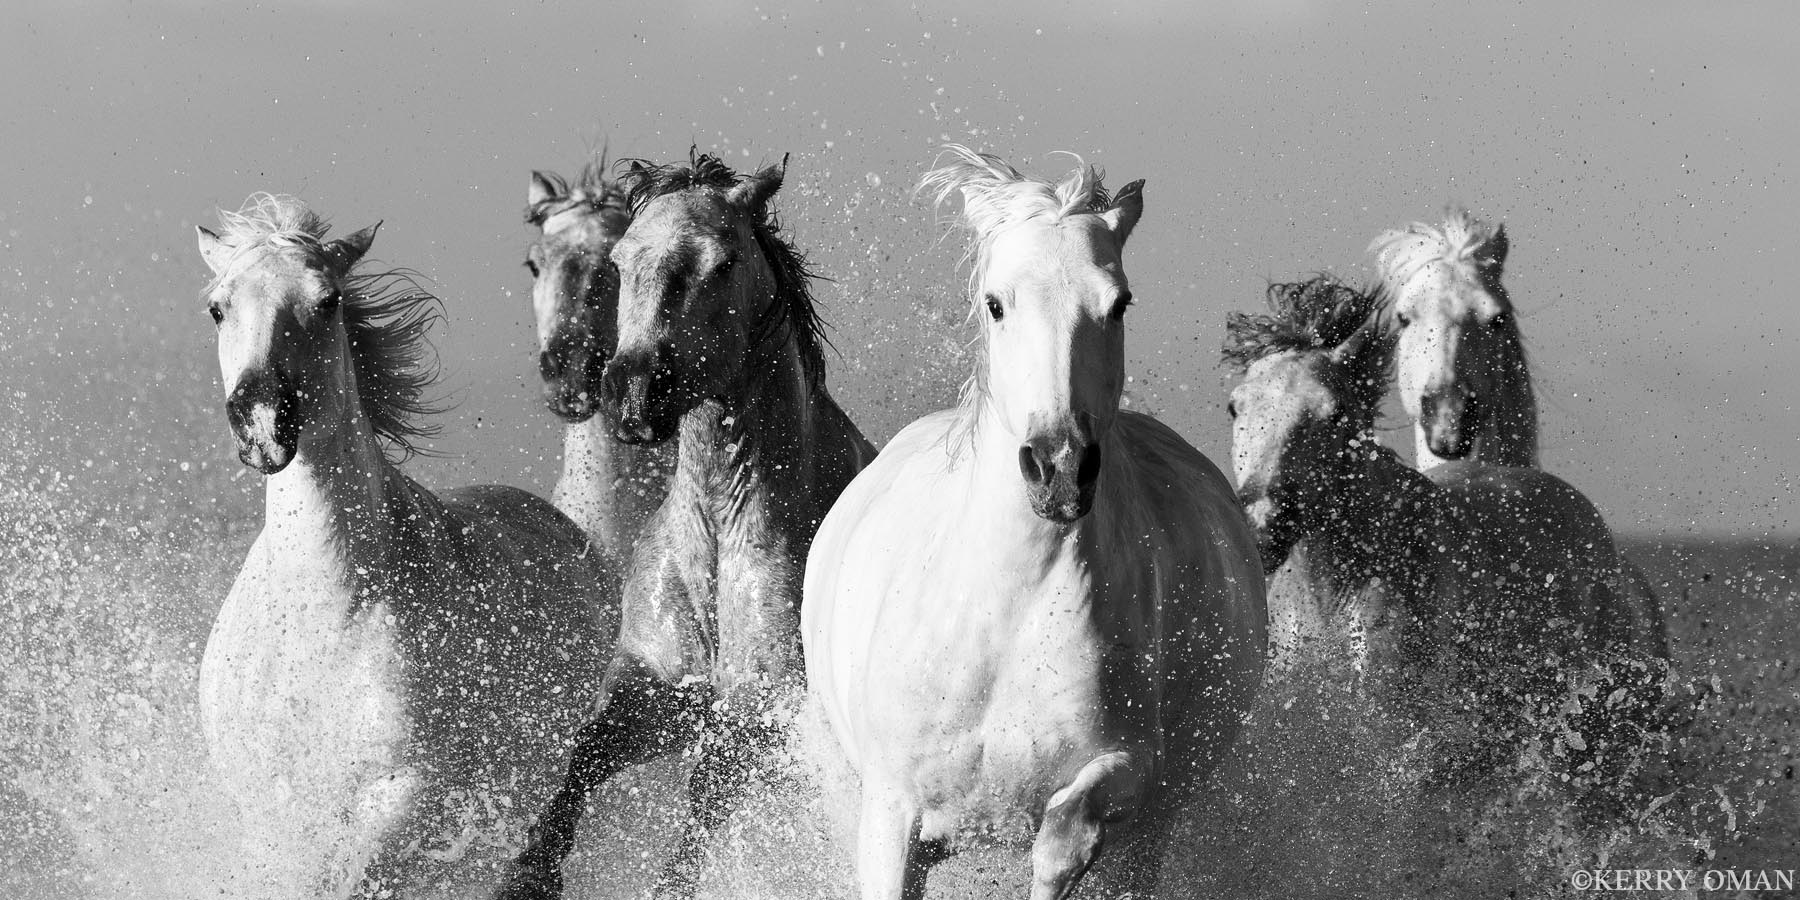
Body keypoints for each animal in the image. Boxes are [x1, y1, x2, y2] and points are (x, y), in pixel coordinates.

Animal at [194, 194, 617, 898]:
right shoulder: (268, 814)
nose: (260, 420)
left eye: (328, 300)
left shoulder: (404, 798)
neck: (321, 617)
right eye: (218, 307)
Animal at [803, 146, 1267, 900]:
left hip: (1156, 830)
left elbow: (1066, 831)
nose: (1059, 468)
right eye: (996, 303)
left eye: (1119, 303)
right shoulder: (889, 809)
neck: (1007, 610)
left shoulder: (1132, 769)